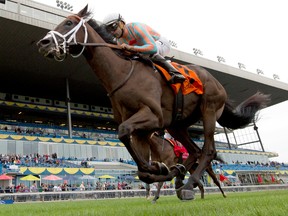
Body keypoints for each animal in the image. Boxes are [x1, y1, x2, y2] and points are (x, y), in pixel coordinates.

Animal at [36, 5, 270, 201]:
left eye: (68, 23)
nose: (43, 43)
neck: (122, 73)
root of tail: (218, 82)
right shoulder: (142, 130)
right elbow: (142, 171)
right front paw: (160, 170)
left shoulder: (153, 116)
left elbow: (123, 132)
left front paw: (160, 171)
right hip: (177, 125)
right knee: (194, 151)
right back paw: (180, 175)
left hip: (209, 110)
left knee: (208, 150)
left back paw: (189, 186)